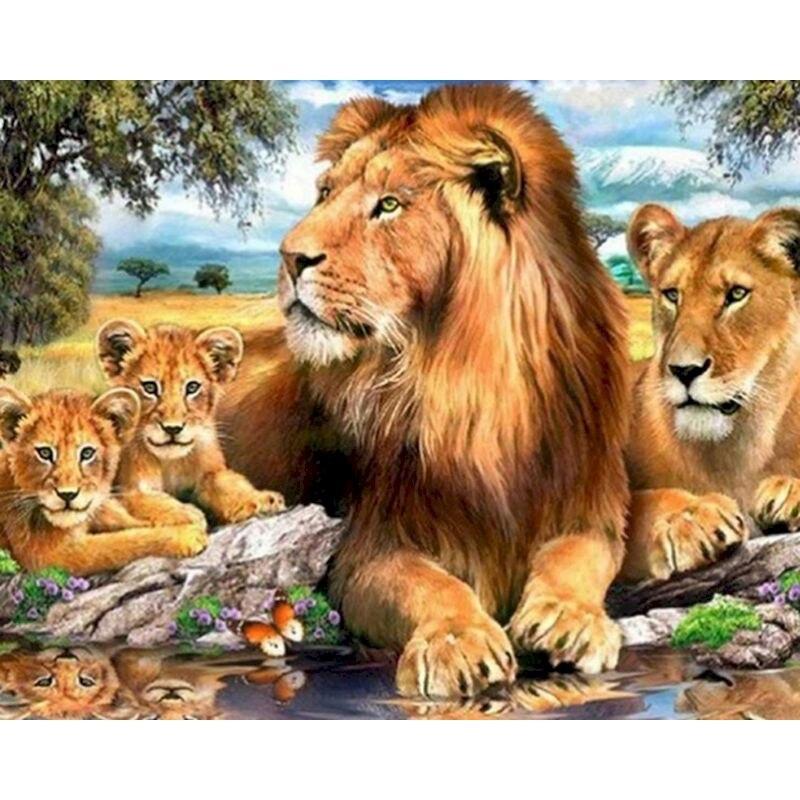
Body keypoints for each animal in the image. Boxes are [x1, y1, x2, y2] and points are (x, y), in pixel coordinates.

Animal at [0, 386, 207, 574]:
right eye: (44, 453)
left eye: (87, 453)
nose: (67, 495)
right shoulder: (50, 556)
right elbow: (121, 543)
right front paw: (186, 535)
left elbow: (120, 515)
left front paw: (186, 514)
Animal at [95, 320, 285, 525]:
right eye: (150, 387)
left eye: (192, 387)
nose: (172, 428)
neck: (170, 463)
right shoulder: (128, 491)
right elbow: (152, 501)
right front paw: (187, 513)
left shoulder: (211, 472)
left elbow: (228, 483)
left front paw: (261, 500)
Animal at [221, 84, 631, 697]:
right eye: (325, 193)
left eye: (389, 205)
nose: (290, 256)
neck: (469, 386)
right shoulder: (364, 547)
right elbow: (426, 582)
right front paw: (458, 642)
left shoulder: (589, 501)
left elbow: (579, 554)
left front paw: (568, 618)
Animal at [620, 205, 800, 582]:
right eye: (673, 295)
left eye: (736, 294)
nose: (684, 370)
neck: (739, 448)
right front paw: (692, 516)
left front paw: (787, 493)